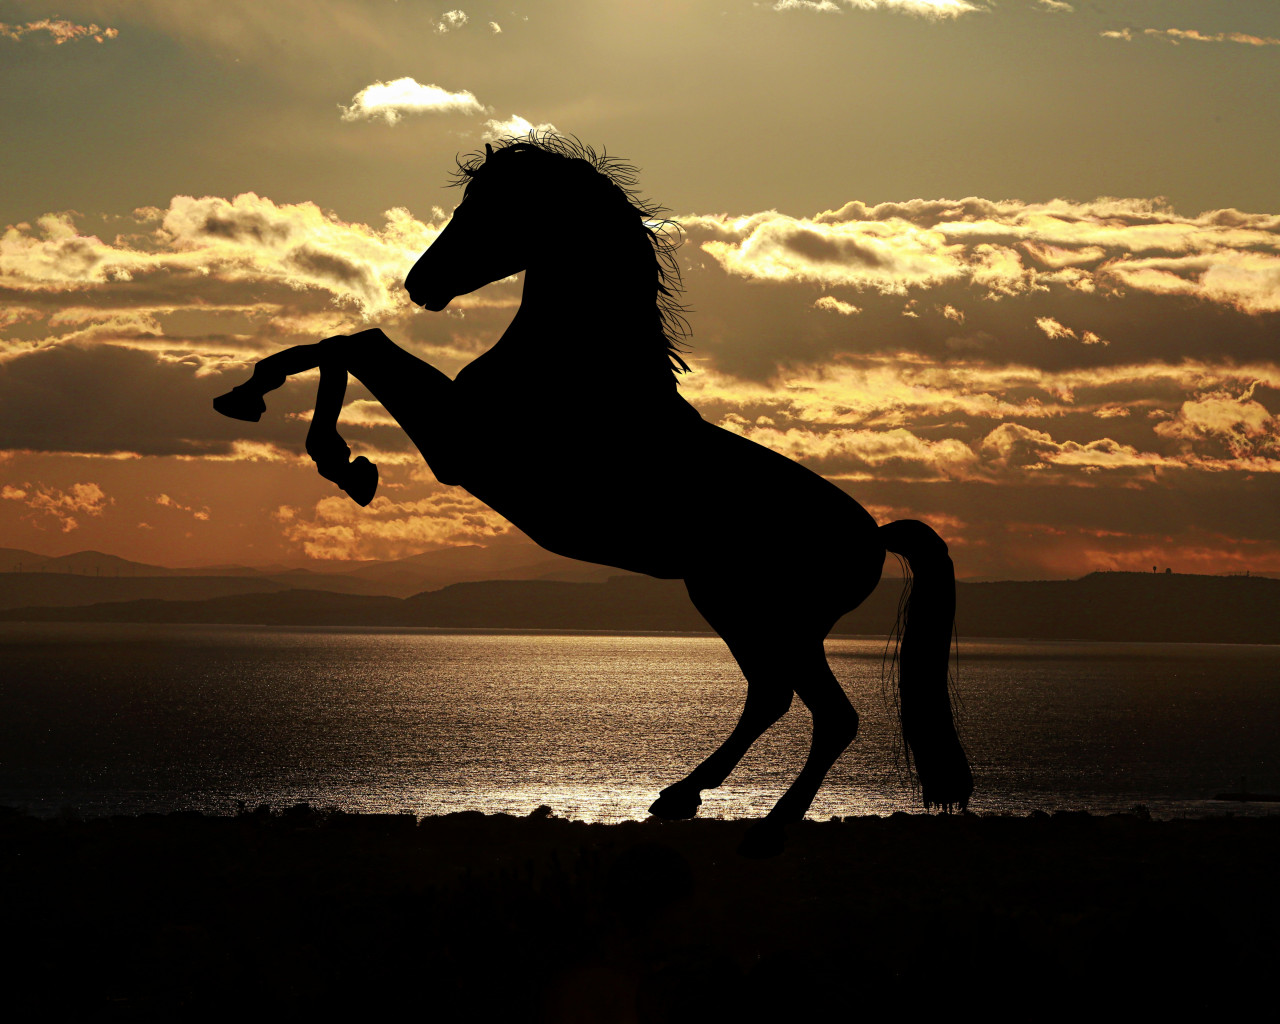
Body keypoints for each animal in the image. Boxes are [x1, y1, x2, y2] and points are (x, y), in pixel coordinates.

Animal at [214, 134, 972, 855]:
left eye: (491, 207)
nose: (420, 282)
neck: (578, 367)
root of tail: (873, 535)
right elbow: (343, 342)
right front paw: (259, 403)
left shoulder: (458, 444)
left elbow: (356, 343)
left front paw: (336, 457)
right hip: (735, 606)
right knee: (771, 697)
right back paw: (680, 796)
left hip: (771, 616)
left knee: (827, 714)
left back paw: (765, 830)